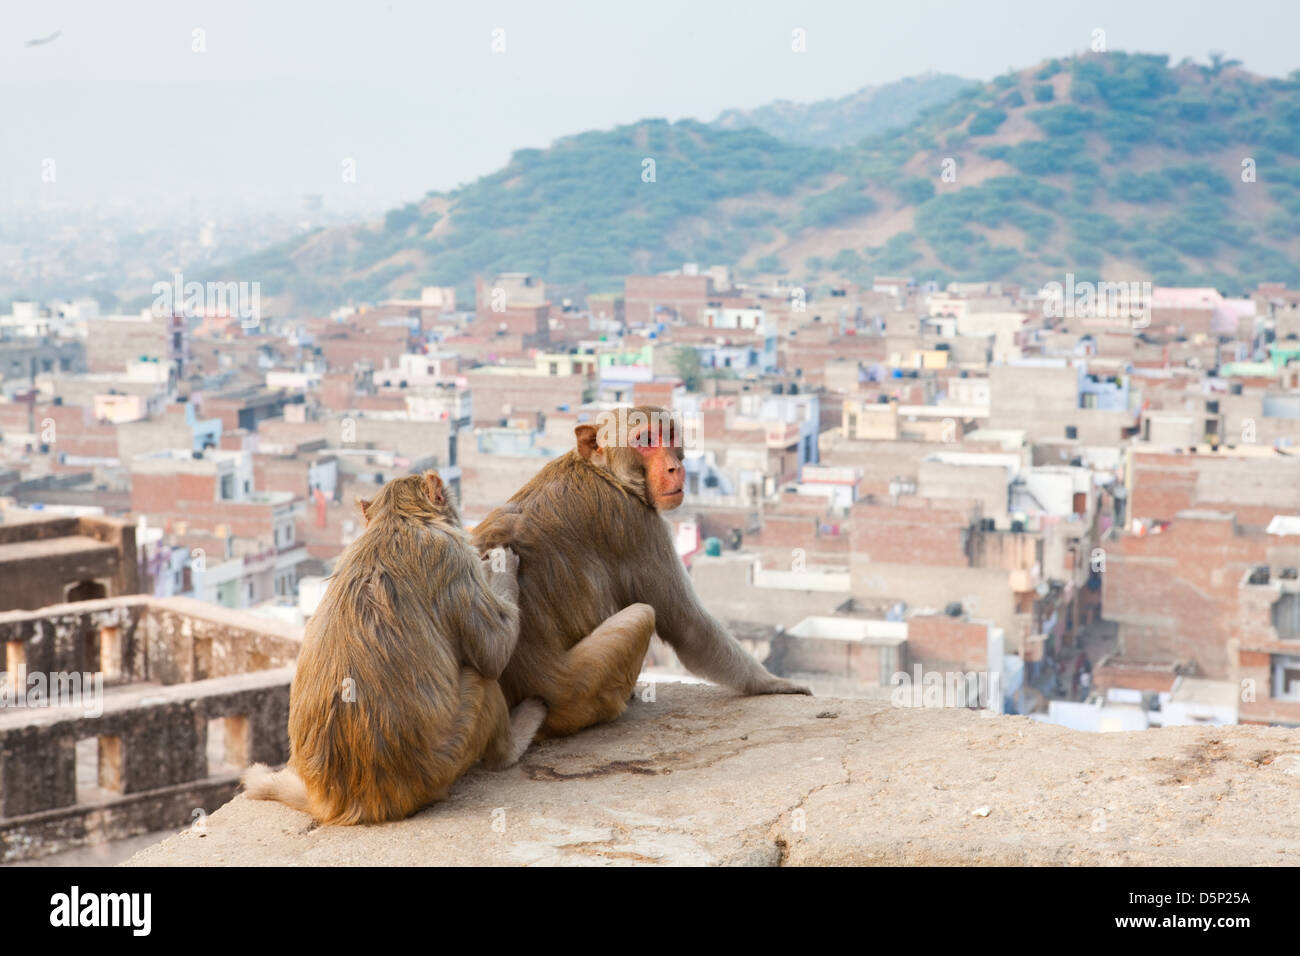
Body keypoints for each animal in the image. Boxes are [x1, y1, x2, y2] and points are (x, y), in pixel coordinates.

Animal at [241, 470, 546, 822]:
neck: (397, 518)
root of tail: (348, 801)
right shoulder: (452, 557)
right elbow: (494, 653)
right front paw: (499, 565)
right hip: (451, 753)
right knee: (481, 678)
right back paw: (514, 741)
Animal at [473, 403, 806, 738]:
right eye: (644, 440)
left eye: (669, 435)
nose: (674, 468)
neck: (604, 472)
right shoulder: (638, 524)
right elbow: (688, 626)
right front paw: (771, 683)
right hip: (580, 690)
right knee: (643, 615)